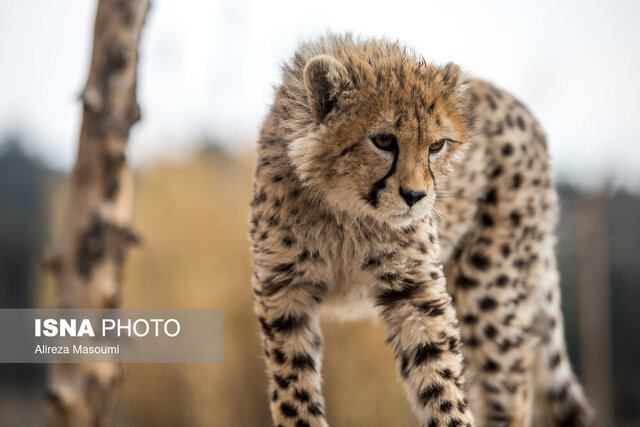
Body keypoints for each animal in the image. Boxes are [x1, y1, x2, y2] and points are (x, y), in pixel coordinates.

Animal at [249, 34, 596, 427]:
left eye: (436, 145)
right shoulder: (284, 289)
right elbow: (294, 388)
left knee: (511, 389)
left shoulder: (414, 288)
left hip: (487, 285)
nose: (415, 197)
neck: (345, 210)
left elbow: (439, 375)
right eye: (384, 140)